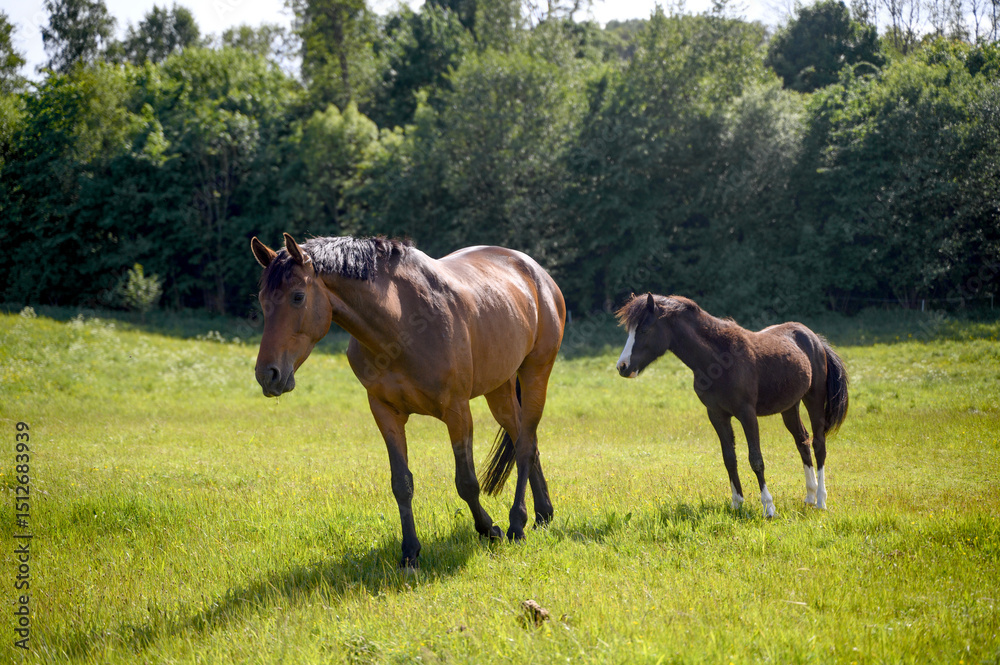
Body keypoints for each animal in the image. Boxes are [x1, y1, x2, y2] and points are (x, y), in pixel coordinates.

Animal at [251, 233, 566, 567]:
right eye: (263, 300)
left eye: (298, 297)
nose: (267, 374)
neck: (401, 325)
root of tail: (535, 272)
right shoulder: (385, 412)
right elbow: (401, 484)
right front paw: (410, 553)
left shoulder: (457, 411)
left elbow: (466, 482)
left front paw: (489, 530)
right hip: (500, 389)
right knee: (524, 439)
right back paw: (543, 514)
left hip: (535, 374)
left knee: (525, 446)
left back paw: (517, 524)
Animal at [615, 294, 848, 518]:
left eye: (644, 329)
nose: (622, 367)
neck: (718, 361)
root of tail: (814, 338)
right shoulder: (717, 415)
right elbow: (729, 458)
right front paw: (737, 504)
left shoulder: (747, 414)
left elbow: (756, 459)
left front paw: (768, 507)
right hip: (790, 407)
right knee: (802, 441)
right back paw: (809, 497)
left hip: (814, 399)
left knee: (818, 444)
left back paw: (821, 501)